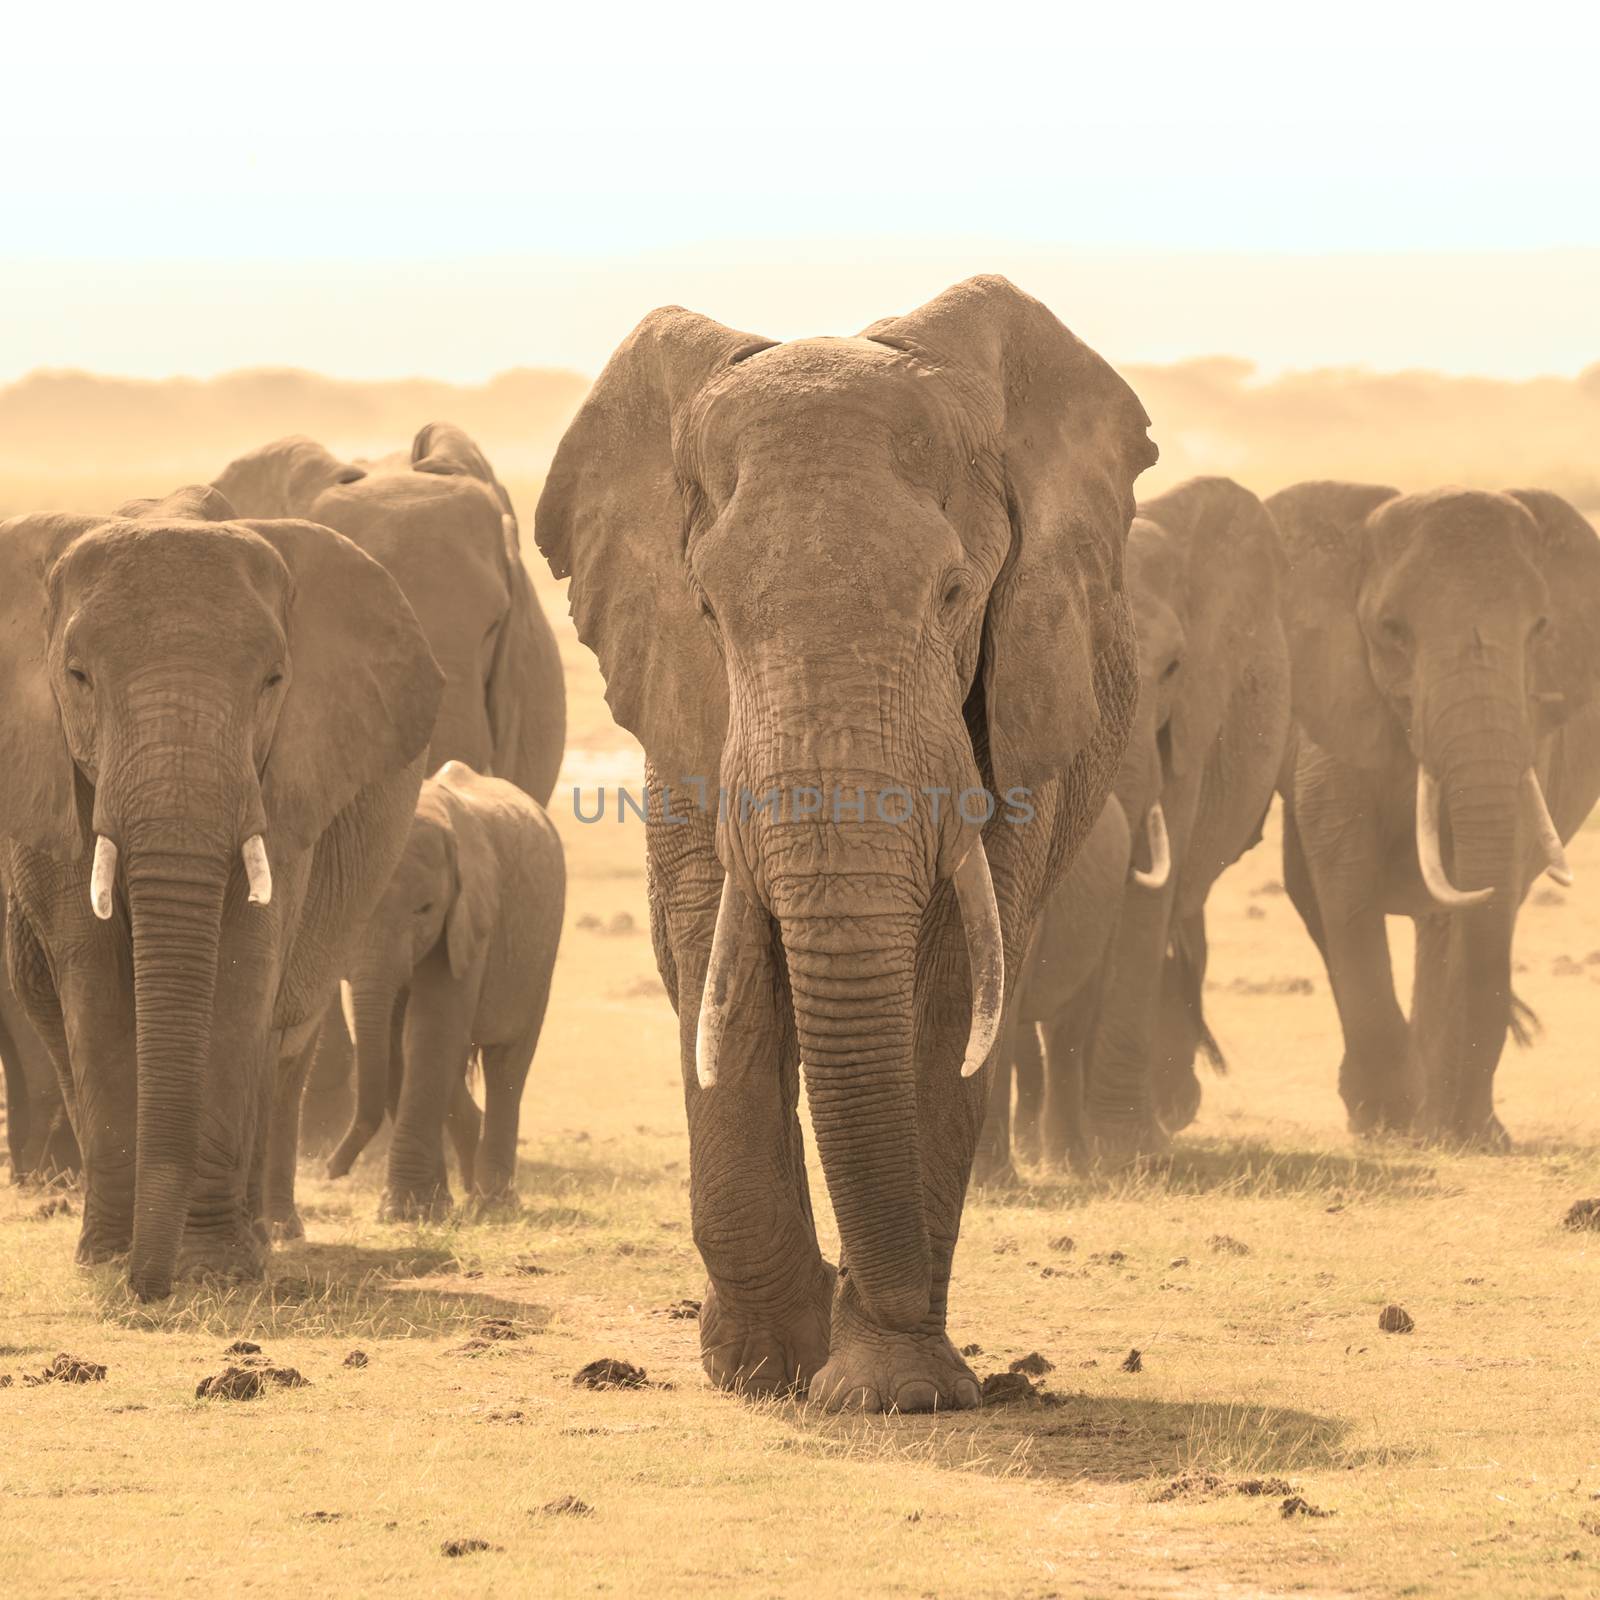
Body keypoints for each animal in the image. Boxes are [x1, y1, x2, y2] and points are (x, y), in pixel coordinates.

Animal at [0, 483, 441, 1299]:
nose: (148, 1288)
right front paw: (111, 1260)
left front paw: (210, 1270)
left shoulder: (286, 783)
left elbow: (242, 971)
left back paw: (258, 1240)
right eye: (77, 676)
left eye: (273, 682)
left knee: (278, 1038)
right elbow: (93, 977)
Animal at [323, 761, 563, 1209]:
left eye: (425, 909)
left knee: (508, 1063)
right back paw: (470, 1187)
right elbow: (396, 1040)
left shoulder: (469, 918)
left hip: (541, 951)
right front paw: (419, 1208)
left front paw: (406, 1210)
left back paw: (492, 1204)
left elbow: (429, 1029)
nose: (333, 1170)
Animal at [534, 275, 1152, 1414]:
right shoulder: (690, 719)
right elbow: (717, 957)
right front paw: (765, 1368)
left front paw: (888, 1389)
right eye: (708, 608)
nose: (862, 1297)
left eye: (953, 597)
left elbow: (952, 982)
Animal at [1273, 480, 1600, 1145]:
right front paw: (1387, 1122)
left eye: (1540, 627)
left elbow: (1494, 873)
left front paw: (1459, 1133)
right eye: (1391, 630)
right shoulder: (1335, 705)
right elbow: (1343, 867)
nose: (1470, 1127)